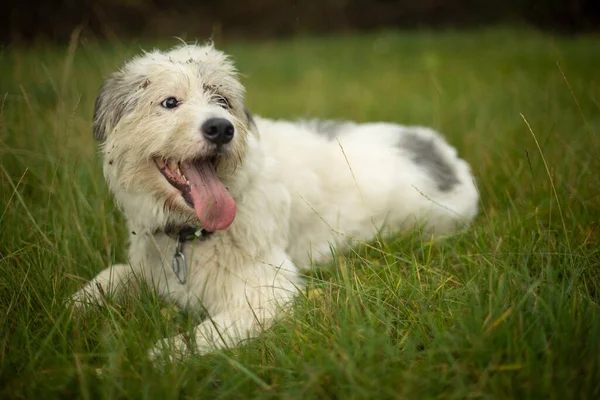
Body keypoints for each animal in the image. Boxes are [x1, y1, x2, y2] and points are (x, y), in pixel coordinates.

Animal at [72, 42, 480, 360]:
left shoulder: (271, 292)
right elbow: (111, 275)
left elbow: (198, 338)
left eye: (222, 100)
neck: (190, 236)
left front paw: (155, 360)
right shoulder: (147, 263)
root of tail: (443, 153)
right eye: (169, 102)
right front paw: (69, 309)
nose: (221, 128)